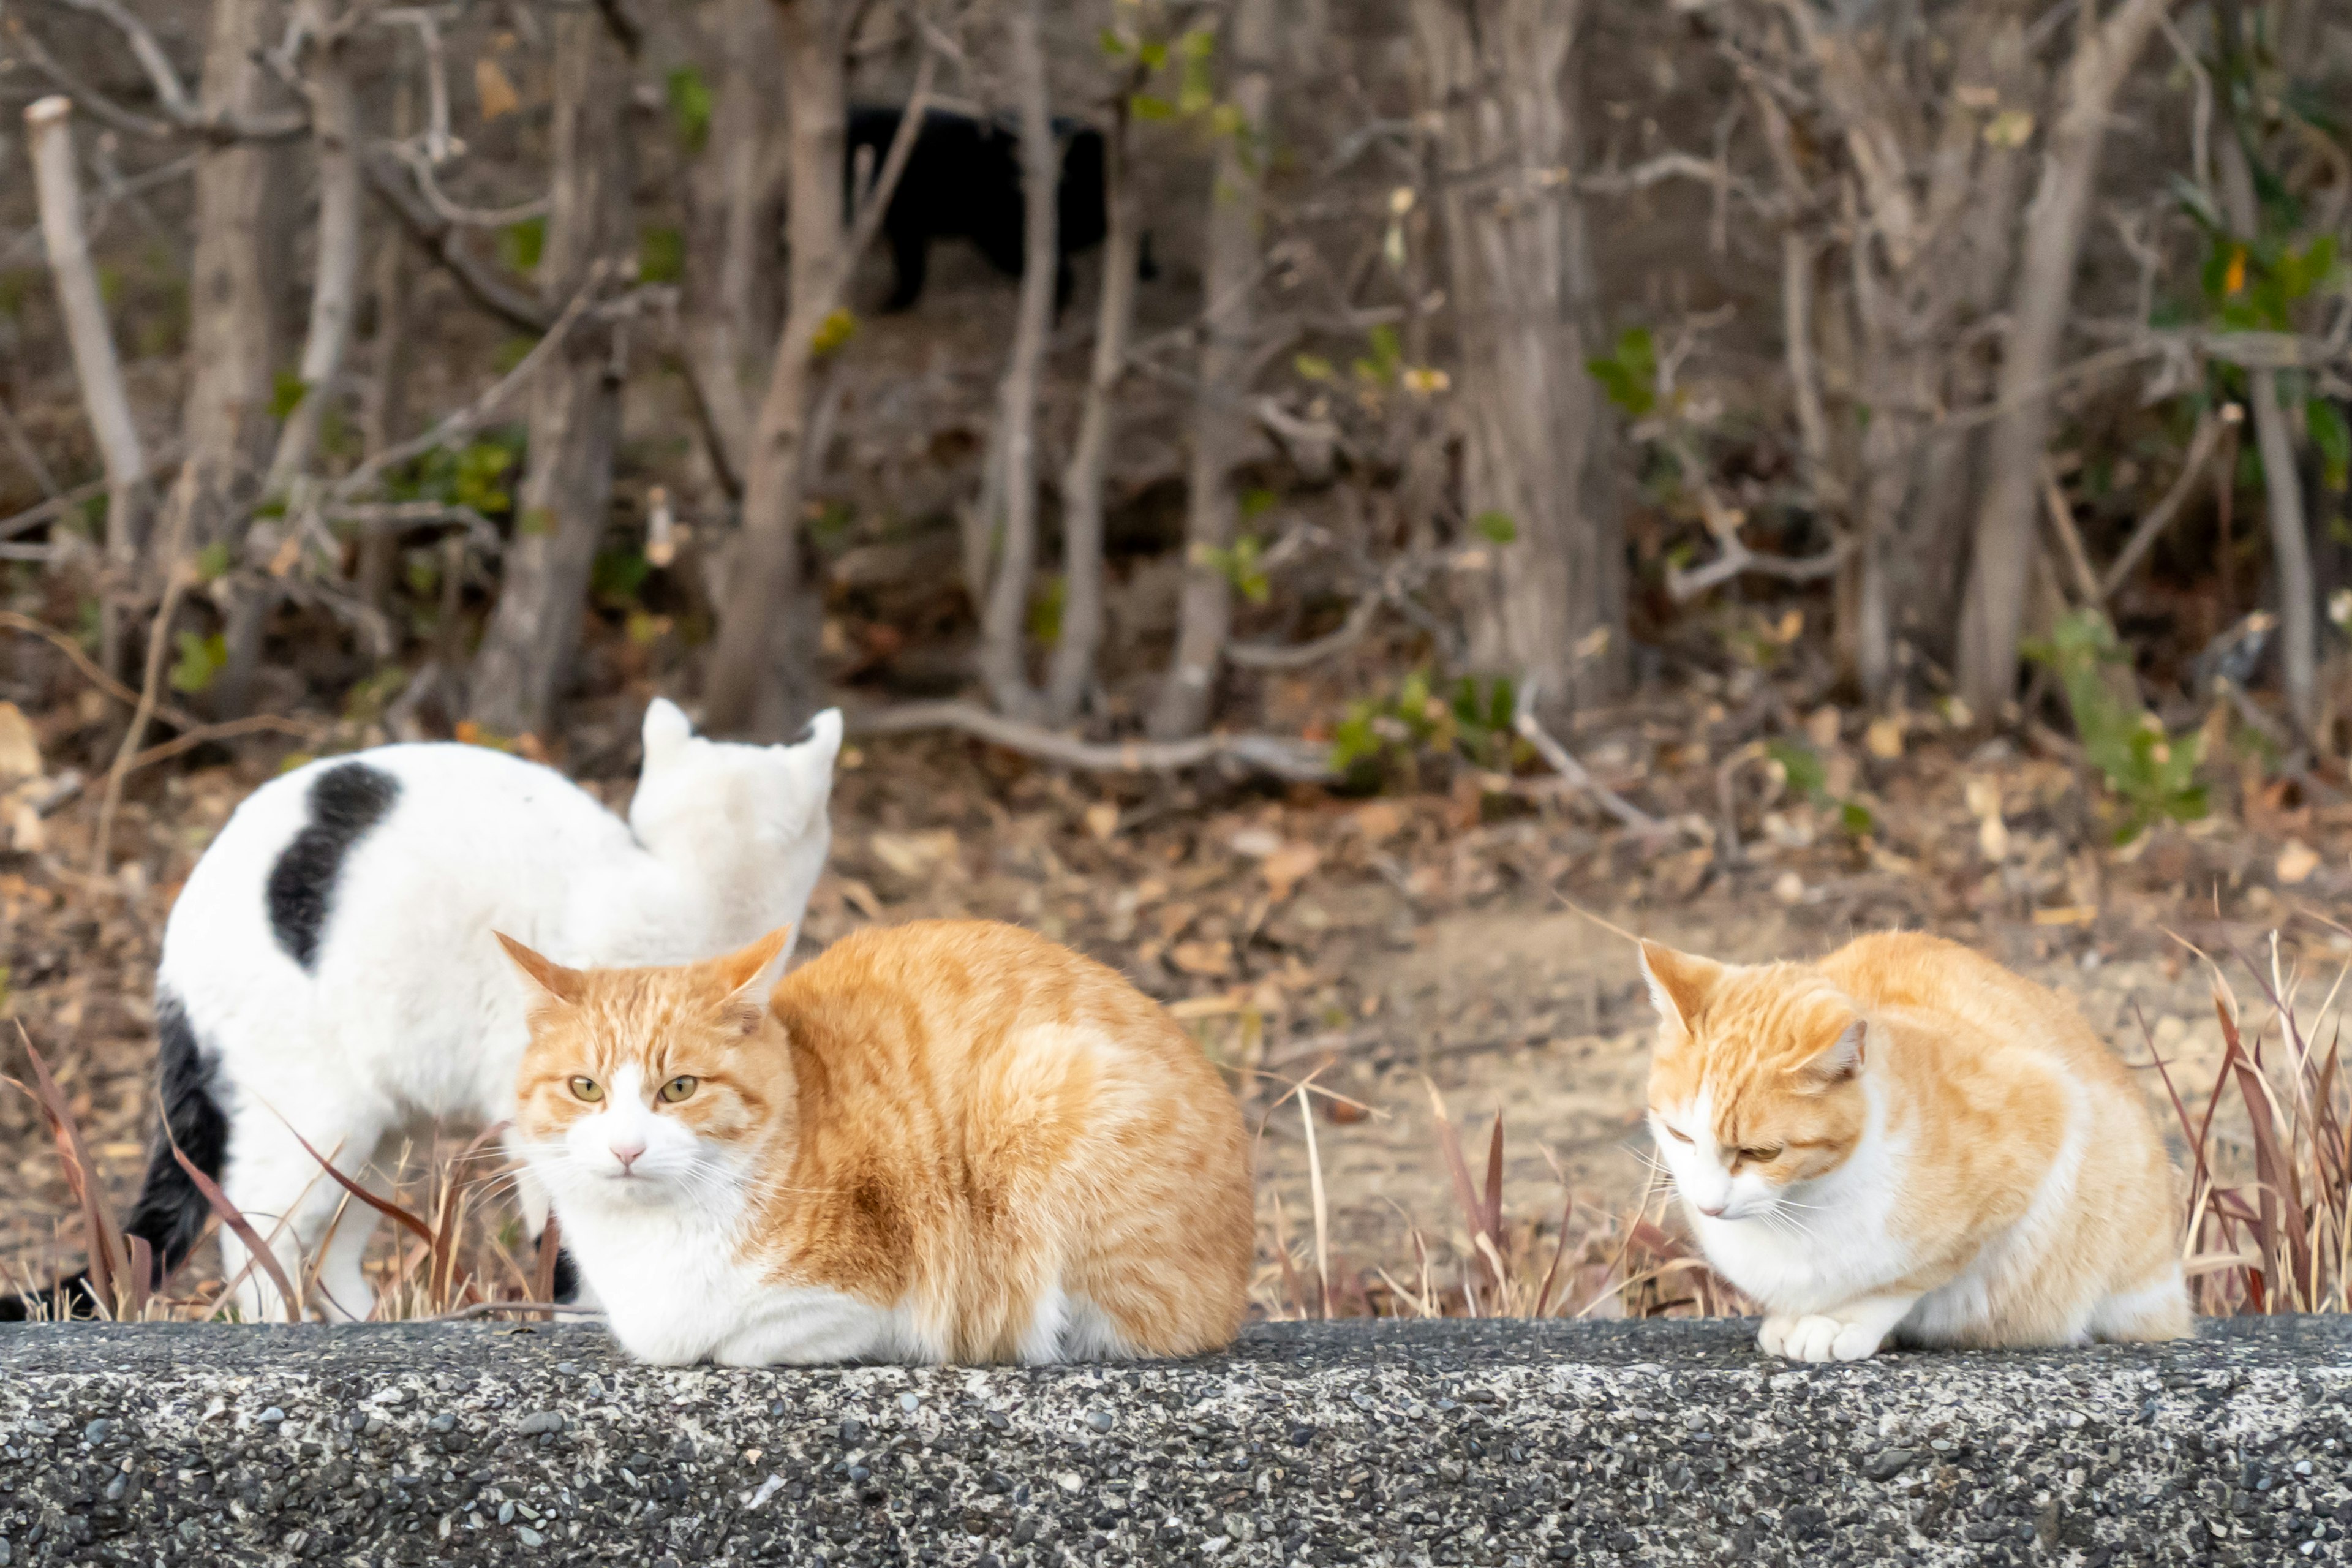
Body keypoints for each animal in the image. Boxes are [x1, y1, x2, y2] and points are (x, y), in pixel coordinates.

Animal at [503, 921, 1261, 1363]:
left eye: (680, 1088)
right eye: (586, 1088)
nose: (627, 1150)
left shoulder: (869, 1294)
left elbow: (737, 1343)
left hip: (1037, 1084)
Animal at [846, 104, 1147, 312]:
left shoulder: (903, 226)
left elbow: (909, 270)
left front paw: (894, 304)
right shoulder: (905, 228)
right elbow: (912, 270)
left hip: (1002, 239)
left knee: (1065, 272)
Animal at [1637, 930, 2182, 1363]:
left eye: (1762, 1153)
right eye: (1681, 1135)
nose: (1708, 1206)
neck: (1801, 1207)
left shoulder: (2046, 1122)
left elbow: (1904, 1278)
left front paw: (1840, 1321)